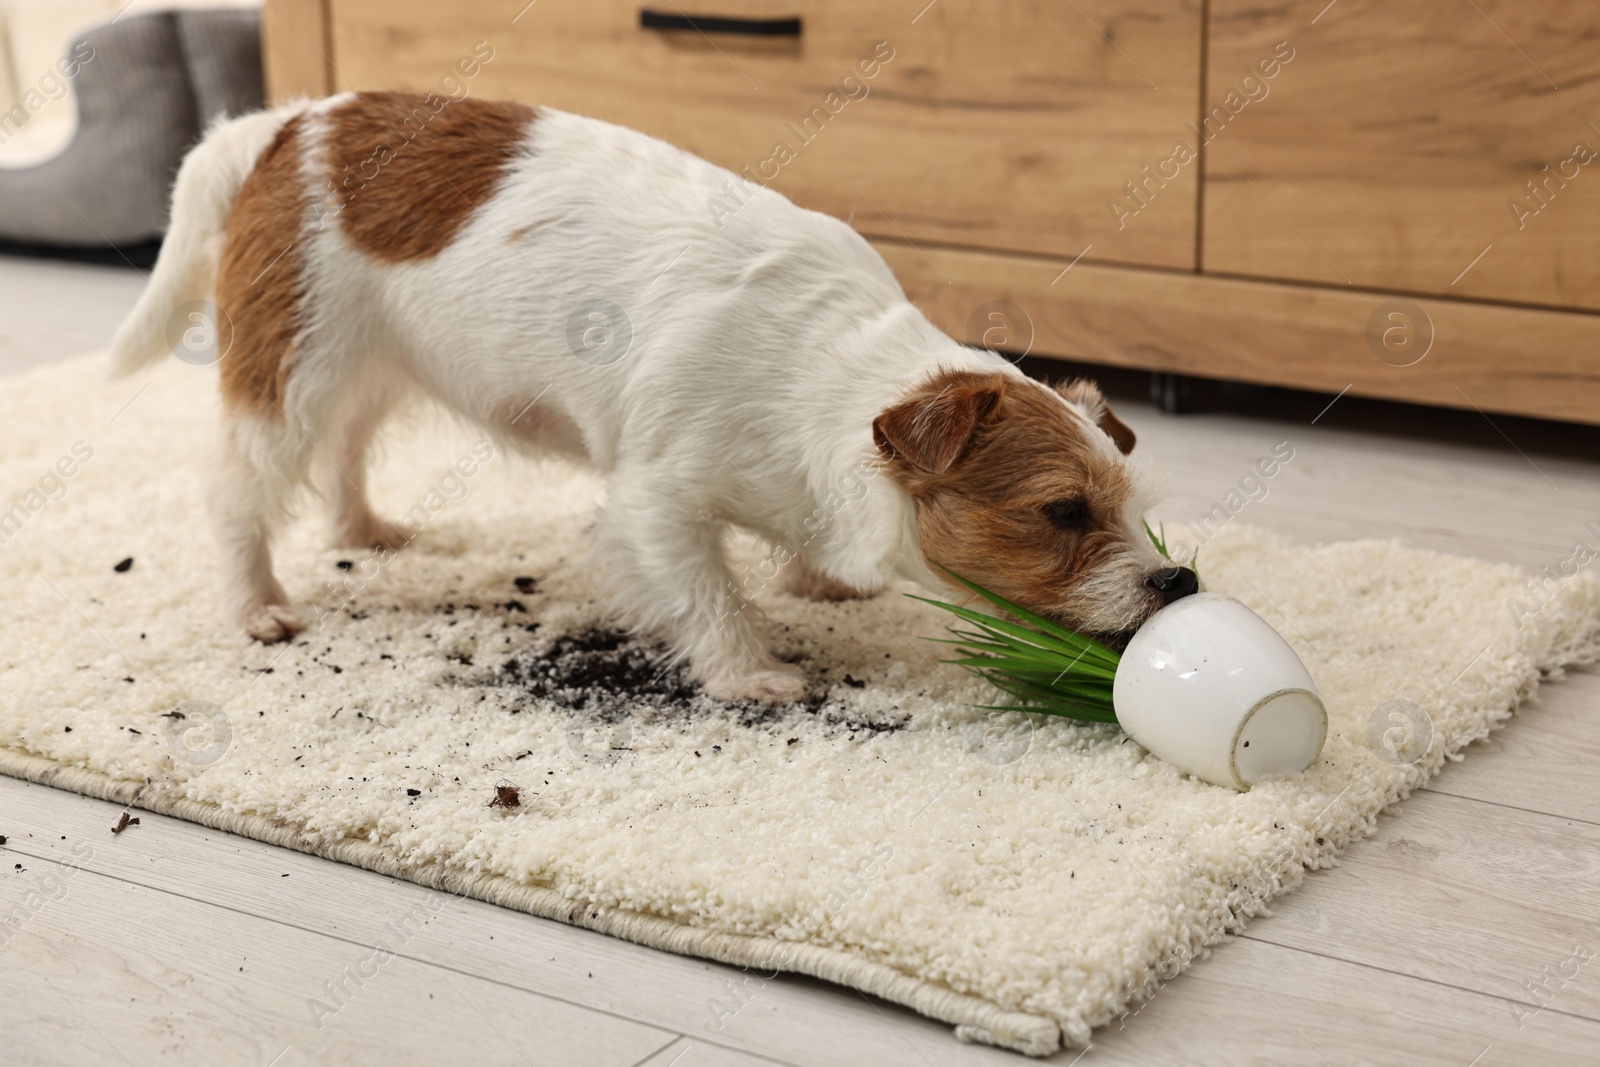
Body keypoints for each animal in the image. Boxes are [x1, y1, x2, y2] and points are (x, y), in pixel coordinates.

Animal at [112, 95, 1196, 703]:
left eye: (1136, 511)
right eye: (1062, 512)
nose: (1177, 582)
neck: (821, 370)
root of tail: (286, 123)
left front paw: (815, 575)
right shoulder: (656, 502)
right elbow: (709, 591)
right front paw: (750, 672)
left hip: (377, 363)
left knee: (346, 446)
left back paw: (362, 526)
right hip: (293, 370)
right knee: (236, 490)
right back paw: (256, 603)